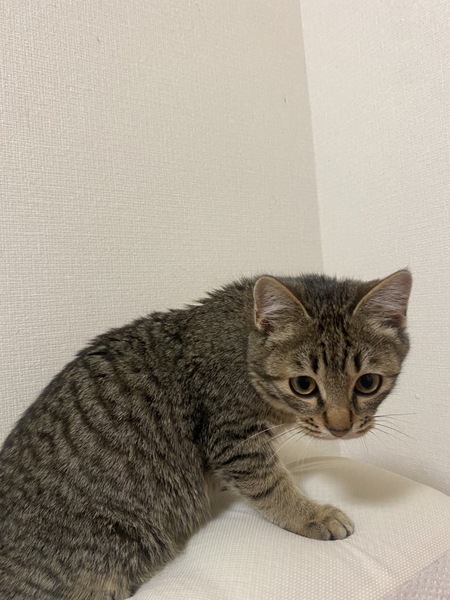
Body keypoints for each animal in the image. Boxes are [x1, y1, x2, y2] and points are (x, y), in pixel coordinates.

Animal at [0, 270, 412, 599]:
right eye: (304, 385)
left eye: (368, 383)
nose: (340, 427)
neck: (244, 351)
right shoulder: (234, 441)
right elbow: (271, 486)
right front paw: (311, 516)